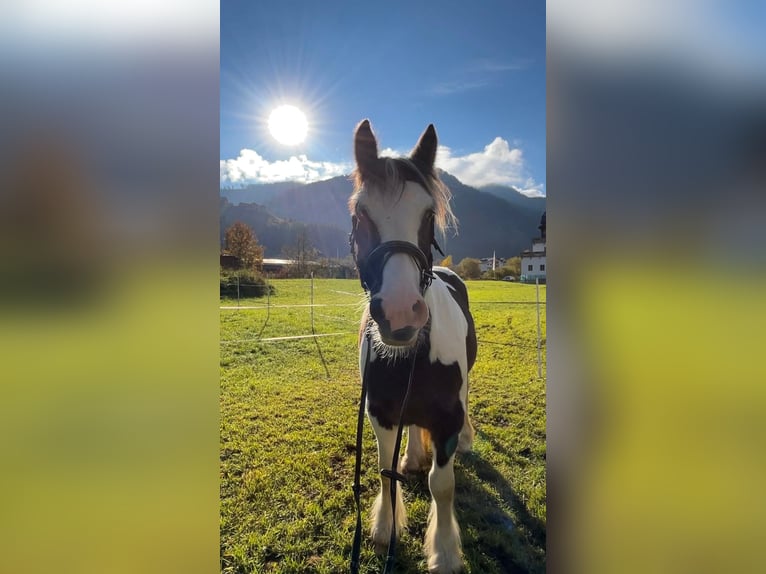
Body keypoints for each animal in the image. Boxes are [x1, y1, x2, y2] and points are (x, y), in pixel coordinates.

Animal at [348, 119, 477, 573]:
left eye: (428, 215)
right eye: (361, 213)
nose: (401, 313)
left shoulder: (447, 419)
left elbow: (443, 484)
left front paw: (444, 551)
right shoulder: (382, 413)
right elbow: (385, 471)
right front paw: (386, 528)